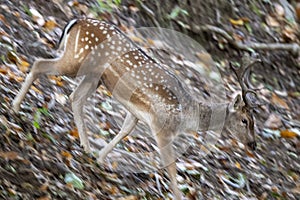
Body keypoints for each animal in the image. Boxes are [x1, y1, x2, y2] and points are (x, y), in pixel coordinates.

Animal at [12, 18, 258, 199]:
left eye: (254, 120)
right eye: (245, 120)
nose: (253, 144)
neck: (187, 116)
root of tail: (77, 21)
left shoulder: (136, 113)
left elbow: (124, 132)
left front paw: (101, 159)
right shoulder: (162, 128)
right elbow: (170, 165)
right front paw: (178, 195)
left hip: (94, 76)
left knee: (75, 97)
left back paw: (86, 147)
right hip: (75, 60)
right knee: (39, 64)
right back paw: (15, 107)